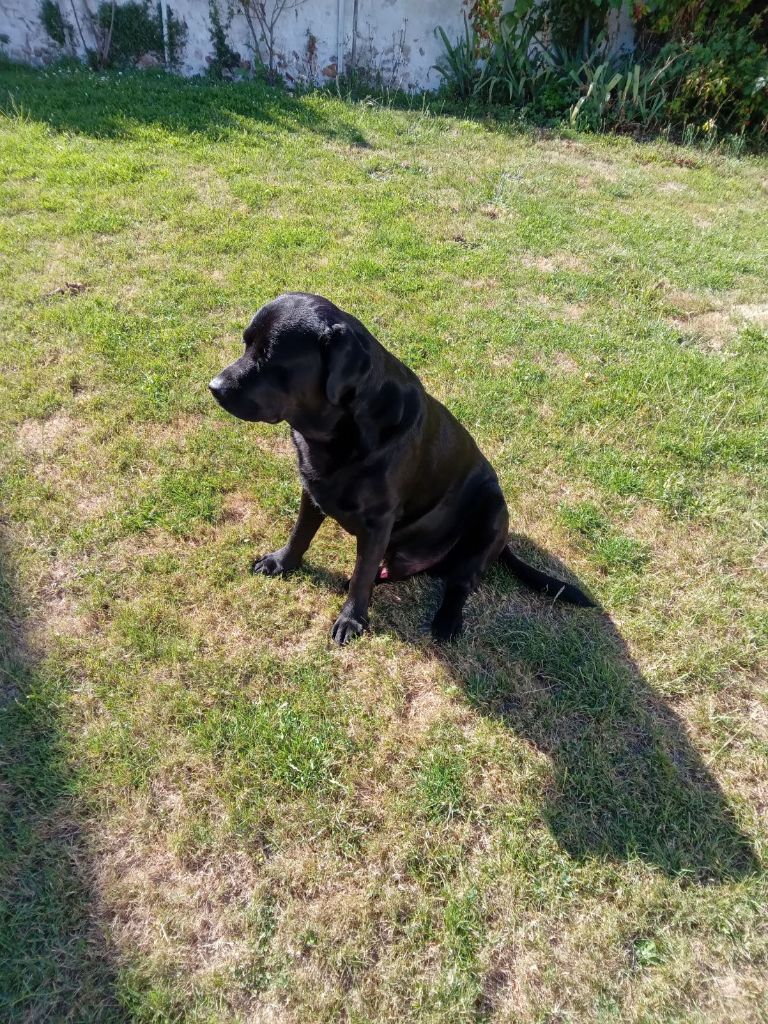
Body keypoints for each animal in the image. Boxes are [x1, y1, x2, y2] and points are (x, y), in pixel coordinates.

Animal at [207, 292, 593, 643]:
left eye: (271, 357)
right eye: (246, 344)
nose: (214, 387)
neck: (339, 433)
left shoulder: (379, 519)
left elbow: (362, 572)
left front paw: (351, 619)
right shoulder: (311, 489)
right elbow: (300, 535)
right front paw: (281, 563)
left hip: (492, 512)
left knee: (460, 582)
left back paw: (446, 621)